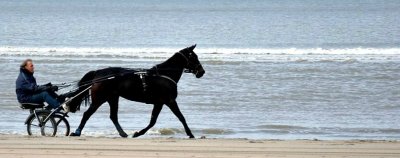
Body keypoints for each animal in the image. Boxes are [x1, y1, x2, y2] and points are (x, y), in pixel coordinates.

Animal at [67, 44, 205, 138]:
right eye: (194, 57)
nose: (202, 72)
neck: (164, 74)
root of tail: (98, 73)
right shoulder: (169, 101)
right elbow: (181, 117)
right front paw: (190, 134)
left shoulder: (159, 103)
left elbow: (153, 121)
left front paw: (138, 133)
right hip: (99, 99)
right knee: (87, 114)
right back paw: (77, 132)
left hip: (113, 98)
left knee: (113, 116)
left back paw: (123, 133)